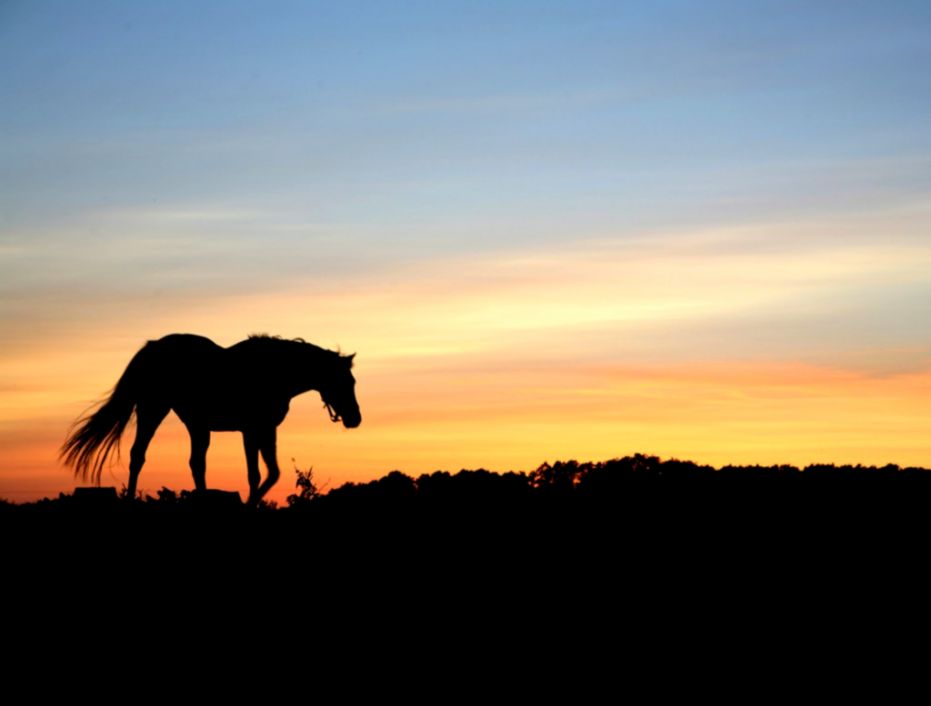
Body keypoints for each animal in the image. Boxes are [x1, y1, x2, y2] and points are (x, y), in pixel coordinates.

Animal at [61, 334, 361, 505]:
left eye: (352, 381)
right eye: (344, 382)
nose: (355, 419)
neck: (275, 371)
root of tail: (152, 348)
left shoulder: (263, 430)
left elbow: (269, 473)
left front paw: (252, 502)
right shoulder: (253, 429)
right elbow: (257, 474)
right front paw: (250, 503)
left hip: (196, 425)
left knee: (195, 463)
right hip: (153, 409)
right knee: (139, 455)